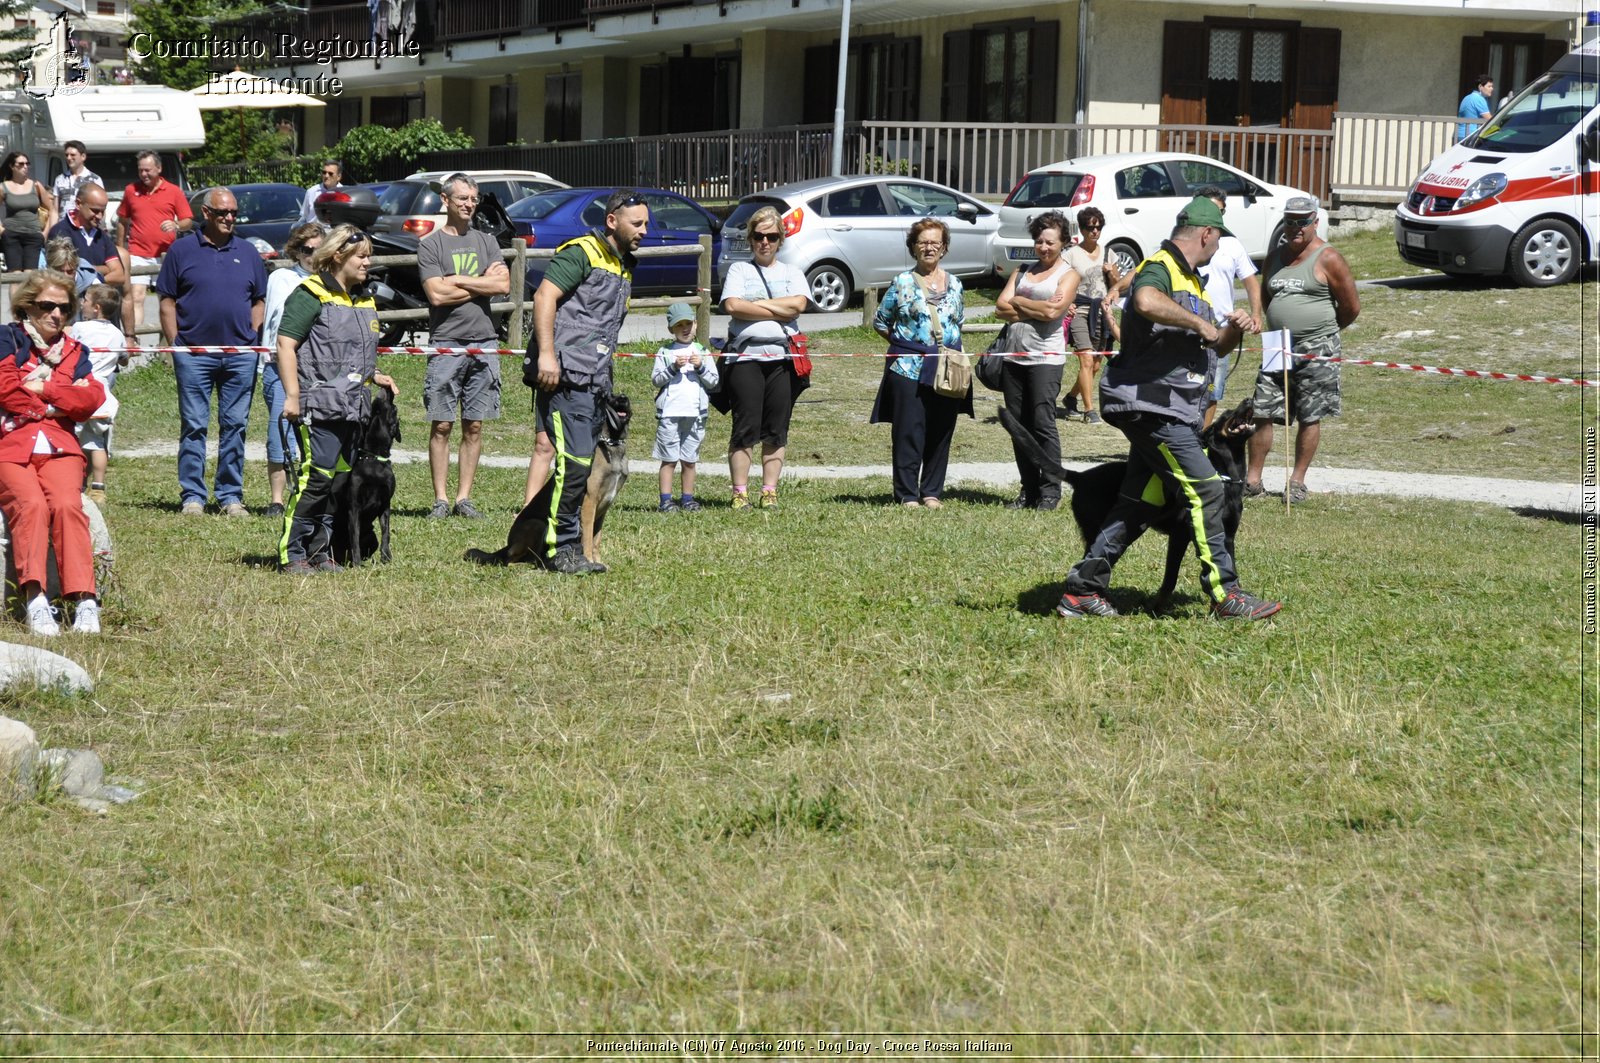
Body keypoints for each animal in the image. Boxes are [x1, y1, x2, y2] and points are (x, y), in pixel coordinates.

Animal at [329, 384, 403, 563]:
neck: (373, 457)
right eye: (393, 409)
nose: (388, 388)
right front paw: (356, 563)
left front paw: (386, 557)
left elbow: (386, 532)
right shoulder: (354, 507)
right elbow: (354, 536)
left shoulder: (385, 503)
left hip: (371, 537)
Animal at [464, 390, 630, 569]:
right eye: (611, 397)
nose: (623, 398)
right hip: (538, 524)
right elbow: (587, 539)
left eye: (625, 398)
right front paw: (589, 561)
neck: (612, 443)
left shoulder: (603, 509)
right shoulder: (589, 503)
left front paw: (598, 561)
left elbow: (596, 539)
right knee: (513, 560)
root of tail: (508, 545)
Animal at [998, 398, 1260, 605]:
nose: (1249, 399)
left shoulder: (1227, 535)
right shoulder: (1180, 536)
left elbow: (1229, 567)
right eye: (1227, 414)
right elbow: (1170, 579)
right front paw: (1156, 609)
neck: (1227, 475)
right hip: (1099, 530)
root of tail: (1081, 476)